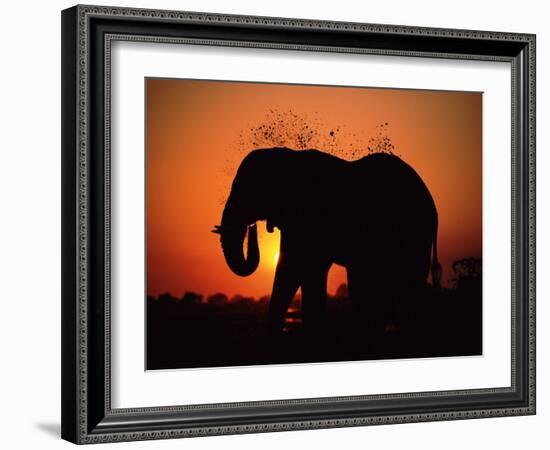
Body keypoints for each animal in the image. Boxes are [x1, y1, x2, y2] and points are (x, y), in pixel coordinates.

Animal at [213, 148, 442, 338]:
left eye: (249, 189)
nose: (253, 228)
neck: (288, 156)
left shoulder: (311, 217)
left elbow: (299, 266)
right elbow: (293, 269)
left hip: (415, 235)